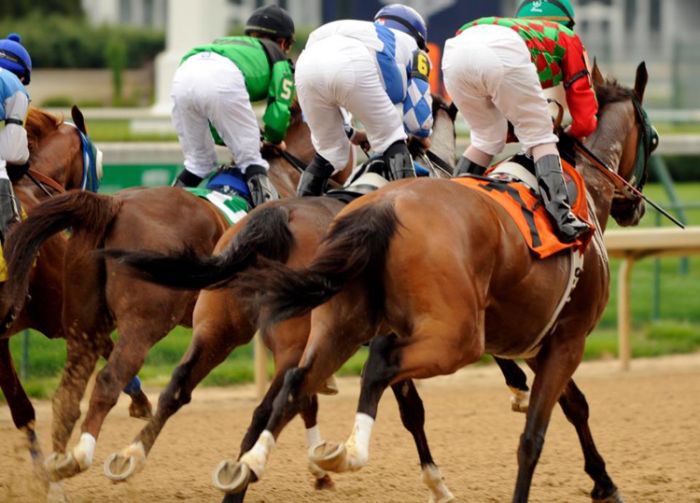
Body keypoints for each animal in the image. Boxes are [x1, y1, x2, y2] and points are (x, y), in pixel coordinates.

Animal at [0, 103, 350, 484]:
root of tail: (112, 205)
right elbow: (299, 392)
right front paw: (318, 463)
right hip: (144, 322)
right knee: (108, 379)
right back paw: (83, 453)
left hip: (84, 318)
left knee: (68, 391)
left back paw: (60, 462)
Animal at [102, 95, 532, 503]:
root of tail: (271, 220)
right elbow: (415, 408)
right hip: (291, 340)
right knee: (268, 407)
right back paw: (240, 478)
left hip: (217, 327)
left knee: (180, 387)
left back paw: (132, 458)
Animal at [221, 63, 660, 503]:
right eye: (653, 140)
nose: (636, 206)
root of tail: (381, 209)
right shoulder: (566, 339)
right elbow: (535, 433)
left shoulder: (540, 340)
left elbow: (574, 406)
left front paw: (603, 481)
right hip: (454, 338)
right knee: (378, 363)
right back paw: (349, 452)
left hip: (338, 326)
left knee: (293, 387)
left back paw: (253, 465)